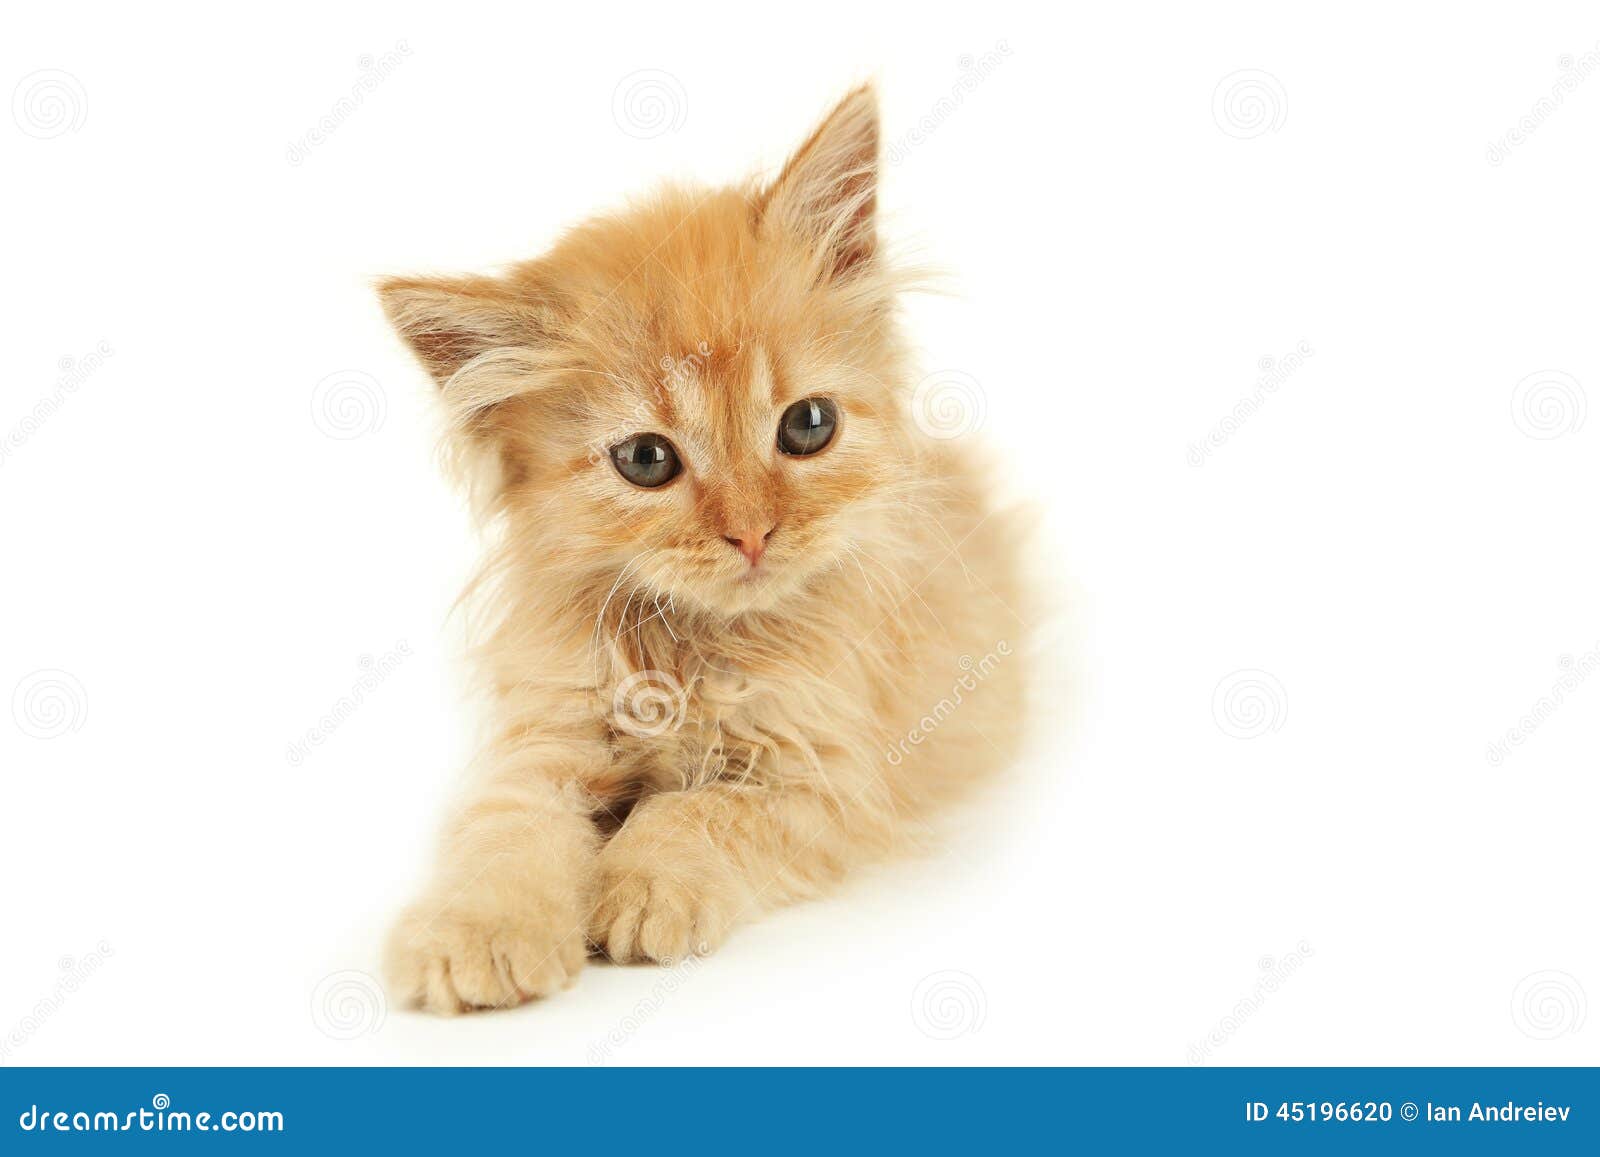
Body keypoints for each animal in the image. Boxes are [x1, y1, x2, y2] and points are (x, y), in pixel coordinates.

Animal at [378, 84, 1029, 1014]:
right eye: (646, 460)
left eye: (808, 424)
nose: (752, 531)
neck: (689, 652)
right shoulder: (540, 746)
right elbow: (504, 833)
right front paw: (478, 930)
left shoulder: (822, 777)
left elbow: (694, 811)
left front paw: (642, 890)